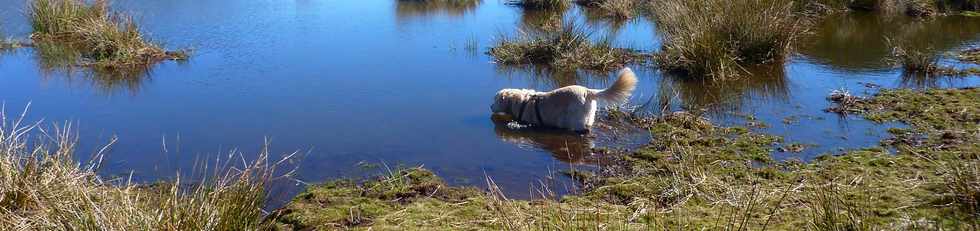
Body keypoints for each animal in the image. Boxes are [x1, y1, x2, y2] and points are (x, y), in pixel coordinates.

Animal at [490, 67, 644, 132]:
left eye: (496, 100)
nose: (490, 107)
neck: (521, 101)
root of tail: (587, 91)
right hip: (589, 117)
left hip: (575, 119)